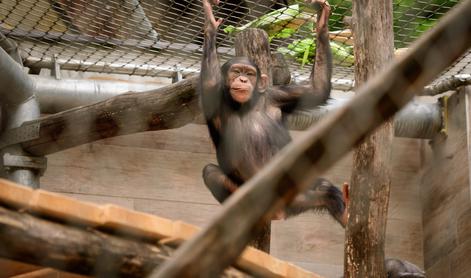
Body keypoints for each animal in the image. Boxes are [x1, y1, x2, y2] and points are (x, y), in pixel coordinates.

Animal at [199, 0, 346, 226]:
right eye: (236, 71)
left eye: (250, 73)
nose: (242, 79)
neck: (246, 105)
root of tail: (280, 210)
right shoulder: (213, 95)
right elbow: (209, 80)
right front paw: (210, 23)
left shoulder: (278, 96)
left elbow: (317, 90)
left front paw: (321, 25)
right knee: (210, 172)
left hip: (296, 197)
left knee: (323, 189)